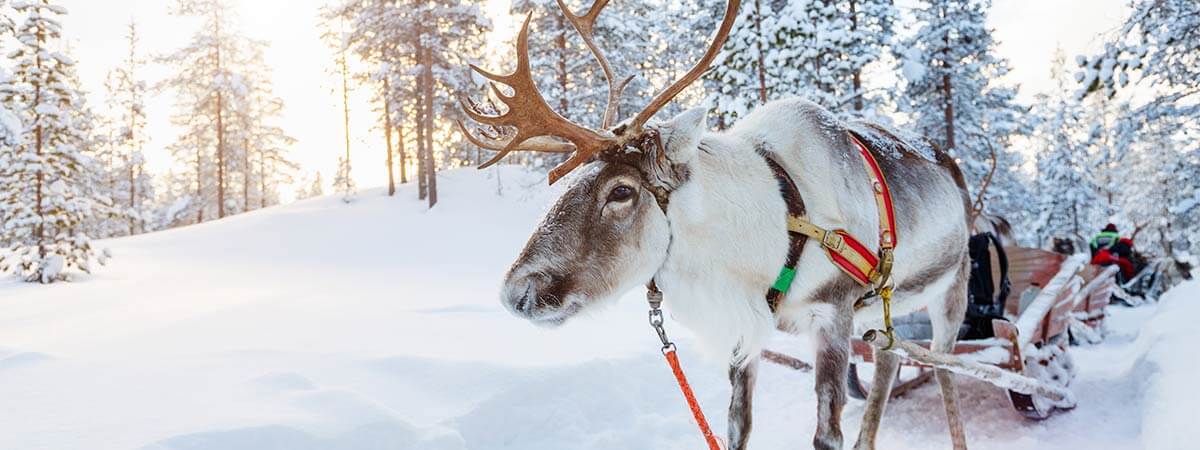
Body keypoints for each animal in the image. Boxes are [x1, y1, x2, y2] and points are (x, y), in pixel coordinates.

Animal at [459, 1, 972, 449]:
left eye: (621, 191)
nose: (515, 293)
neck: (773, 228)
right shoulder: (745, 326)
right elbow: (736, 424)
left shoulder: (834, 312)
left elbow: (827, 433)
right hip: (889, 309)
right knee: (889, 359)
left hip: (953, 289)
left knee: (945, 370)